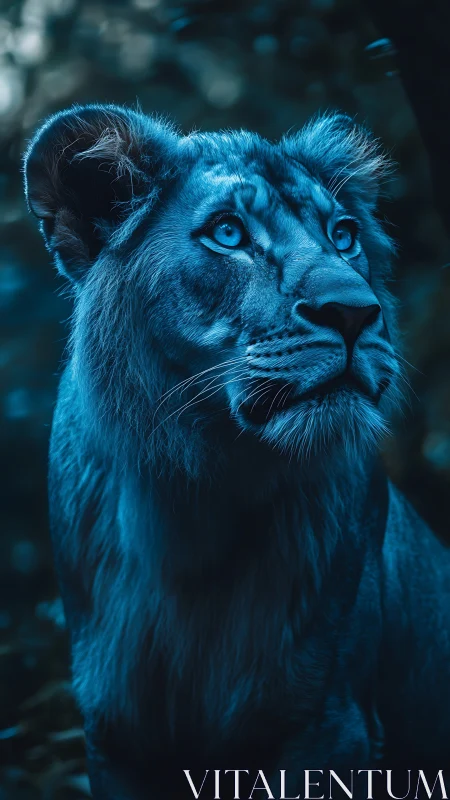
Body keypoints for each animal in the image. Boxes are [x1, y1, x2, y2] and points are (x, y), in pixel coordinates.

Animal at [24, 105, 450, 799]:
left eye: (344, 235)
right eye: (228, 233)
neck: (195, 502)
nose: (355, 312)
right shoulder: (117, 736)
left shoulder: (325, 717)